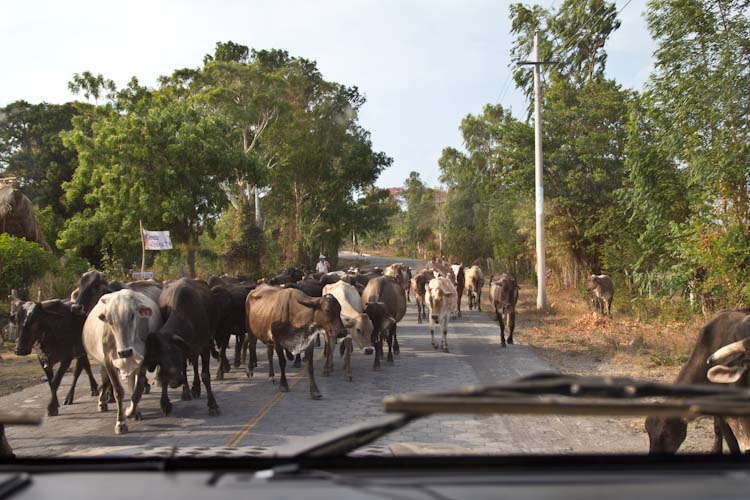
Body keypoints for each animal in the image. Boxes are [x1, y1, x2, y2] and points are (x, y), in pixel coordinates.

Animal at [83, 290, 162, 434]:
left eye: (132, 315)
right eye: (109, 320)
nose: (125, 352)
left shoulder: (143, 360)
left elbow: (137, 392)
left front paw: (131, 412)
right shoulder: (109, 361)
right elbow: (118, 392)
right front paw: (120, 423)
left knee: (131, 384)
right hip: (104, 363)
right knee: (104, 380)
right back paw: (102, 402)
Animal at [145, 280, 220, 416]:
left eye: (175, 353)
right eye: (160, 360)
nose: (174, 381)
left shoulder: (204, 346)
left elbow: (205, 375)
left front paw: (213, 405)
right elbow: (178, 371)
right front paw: (166, 403)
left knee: (195, 365)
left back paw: (196, 387)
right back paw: (190, 389)